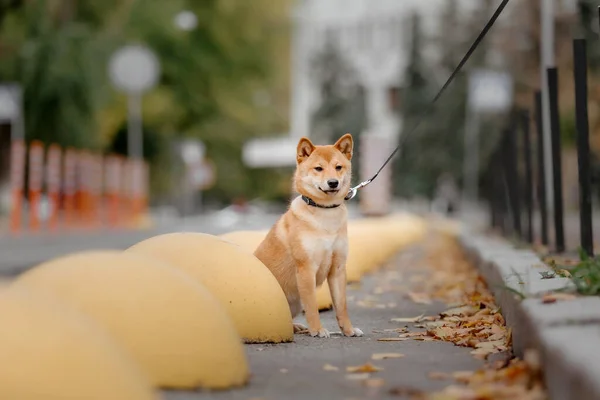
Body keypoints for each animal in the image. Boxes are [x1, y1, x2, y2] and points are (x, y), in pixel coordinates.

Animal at [253, 134, 360, 338]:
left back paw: (296, 327)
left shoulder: (338, 269)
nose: (333, 182)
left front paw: (348, 330)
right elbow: (311, 306)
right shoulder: (306, 269)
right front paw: (317, 330)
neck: (325, 215)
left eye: (338, 167)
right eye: (318, 168)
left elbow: (341, 306)